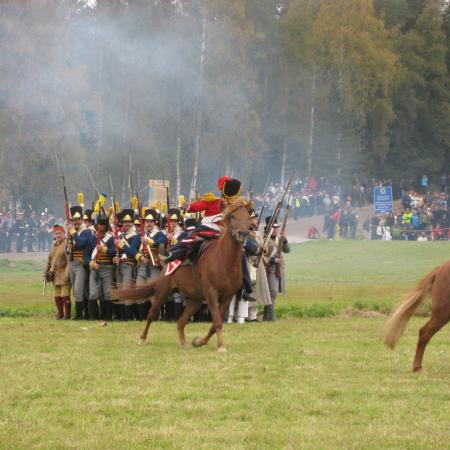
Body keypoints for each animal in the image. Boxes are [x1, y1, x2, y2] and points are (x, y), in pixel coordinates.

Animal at [113, 201, 250, 356]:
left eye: (248, 217)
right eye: (233, 216)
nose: (243, 233)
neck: (225, 260)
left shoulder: (227, 297)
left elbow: (215, 324)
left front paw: (199, 342)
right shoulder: (211, 294)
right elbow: (217, 321)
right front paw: (220, 346)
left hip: (195, 300)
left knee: (181, 322)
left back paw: (184, 344)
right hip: (163, 292)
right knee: (151, 314)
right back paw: (142, 338)